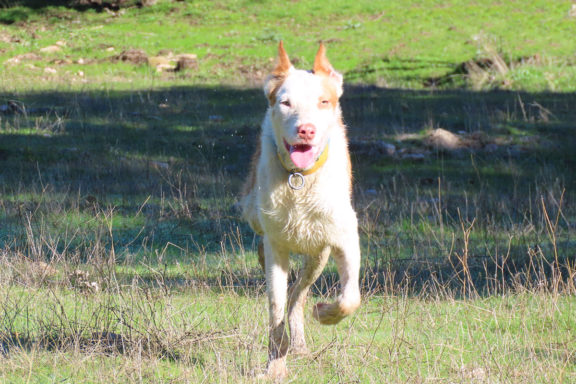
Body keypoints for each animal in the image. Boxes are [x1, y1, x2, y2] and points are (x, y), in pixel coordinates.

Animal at [242, 42, 360, 378]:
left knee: (300, 292)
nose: (306, 130)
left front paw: (326, 314)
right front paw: (275, 366)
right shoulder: (276, 246)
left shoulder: (344, 236)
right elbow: (275, 307)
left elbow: (350, 298)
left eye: (323, 101)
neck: (300, 178)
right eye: (285, 103)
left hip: (318, 253)